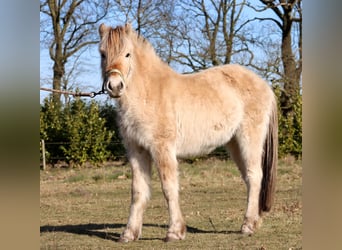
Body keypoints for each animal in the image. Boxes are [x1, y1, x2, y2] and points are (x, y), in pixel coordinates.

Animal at [97, 23, 278, 242]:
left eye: (127, 54)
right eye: (102, 54)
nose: (115, 86)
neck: (149, 92)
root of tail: (264, 85)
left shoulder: (162, 148)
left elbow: (169, 188)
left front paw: (175, 232)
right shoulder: (137, 150)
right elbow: (138, 191)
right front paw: (129, 234)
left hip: (249, 139)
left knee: (254, 176)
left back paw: (248, 226)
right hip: (234, 143)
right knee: (249, 179)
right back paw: (254, 221)